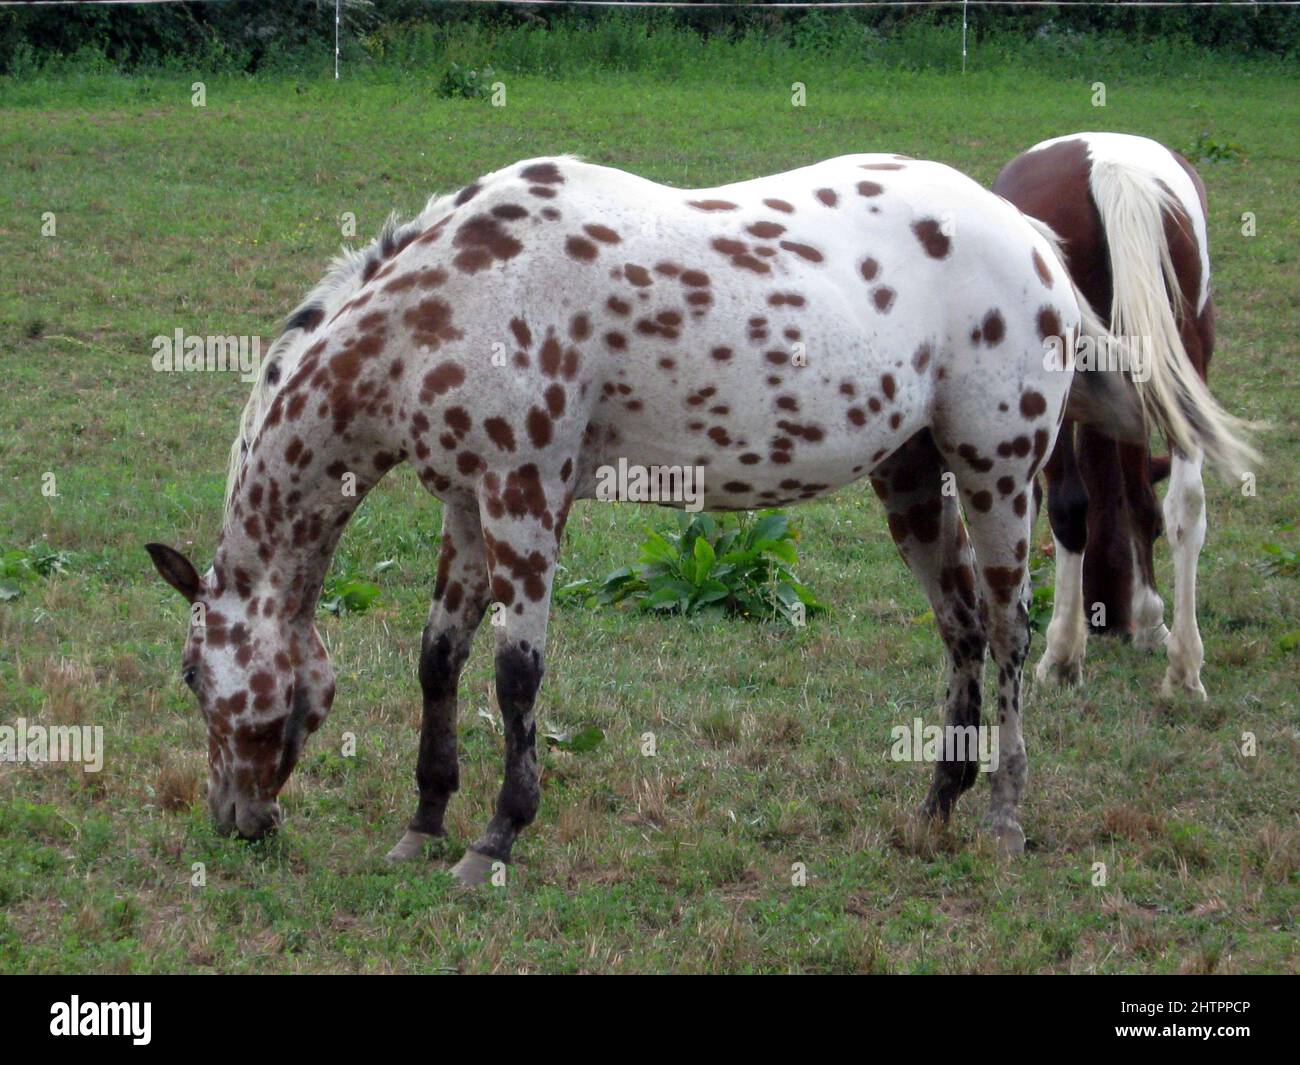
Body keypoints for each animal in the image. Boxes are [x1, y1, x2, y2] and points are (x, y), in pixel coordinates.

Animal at [987, 131, 1253, 702]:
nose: (1109, 618)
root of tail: (1108, 166)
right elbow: (1142, 504)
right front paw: (1152, 623)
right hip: (1183, 358)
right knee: (1186, 506)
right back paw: (1185, 668)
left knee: (1069, 506)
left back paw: (1062, 655)